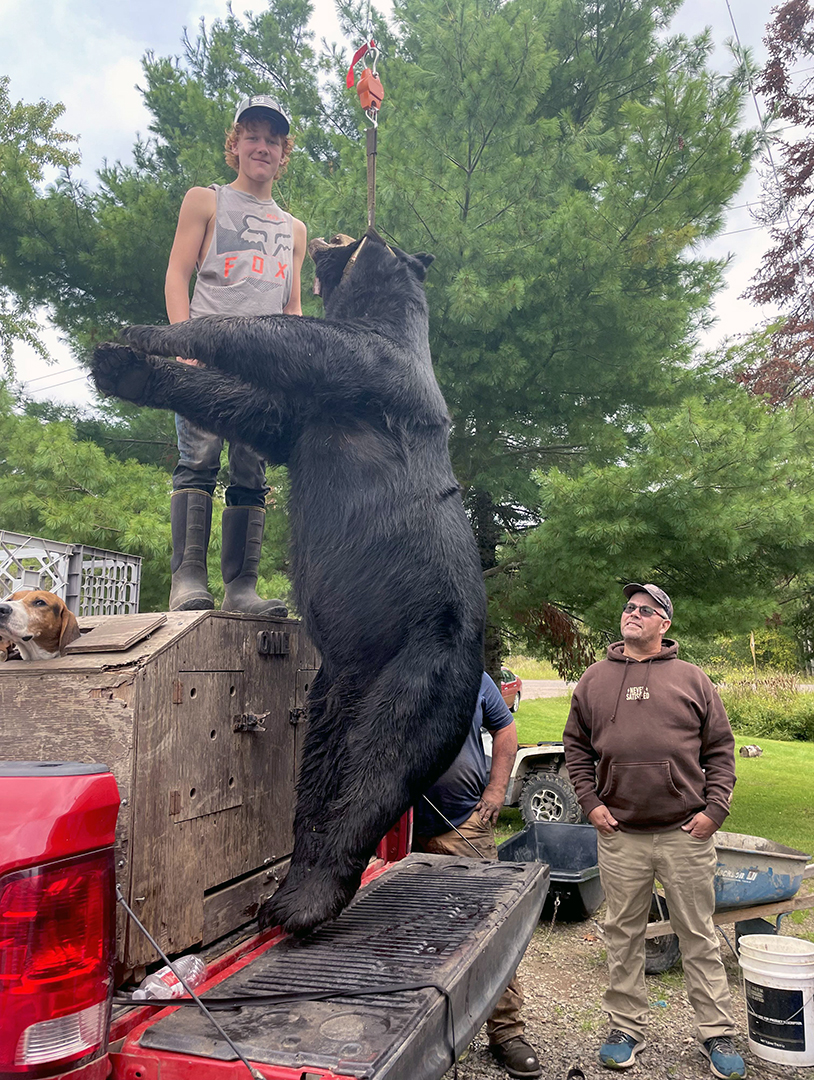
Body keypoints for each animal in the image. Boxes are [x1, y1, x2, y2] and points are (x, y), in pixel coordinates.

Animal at [95, 230, 487, 937]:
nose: (338, 236)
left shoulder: (377, 371)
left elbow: (296, 341)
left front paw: (152, 331)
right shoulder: (302, 419)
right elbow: (257, 410)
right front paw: (121, 366)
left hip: (422, 670)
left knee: (380, 766)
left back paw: (305, 901)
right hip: (331, 694)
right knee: (320, 777)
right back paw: (283, 890)